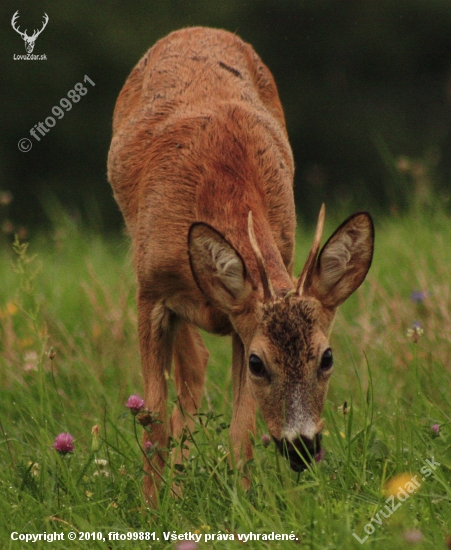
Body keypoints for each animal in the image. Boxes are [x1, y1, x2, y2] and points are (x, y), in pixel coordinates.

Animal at [107, 27, 376, 504]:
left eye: (327, 357)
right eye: (259, 363)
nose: (301, 447)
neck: (224, 185)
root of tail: (196, 30)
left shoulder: (241, 315)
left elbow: (241, 430)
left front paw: (245, 502)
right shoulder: (150, 292)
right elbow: (152, 420)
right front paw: (150, 508)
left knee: (193, 372)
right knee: (188, 377)